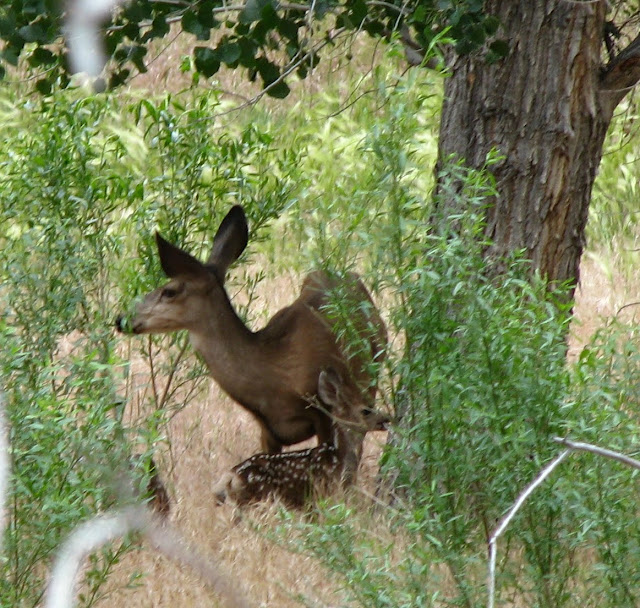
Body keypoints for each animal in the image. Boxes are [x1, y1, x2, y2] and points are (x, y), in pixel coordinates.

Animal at [212, 367, 390, 508]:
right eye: (366, 411)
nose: (387, 418)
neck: (337, 457)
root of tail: (231, 475)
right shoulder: (319, 494)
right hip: (258, 498)